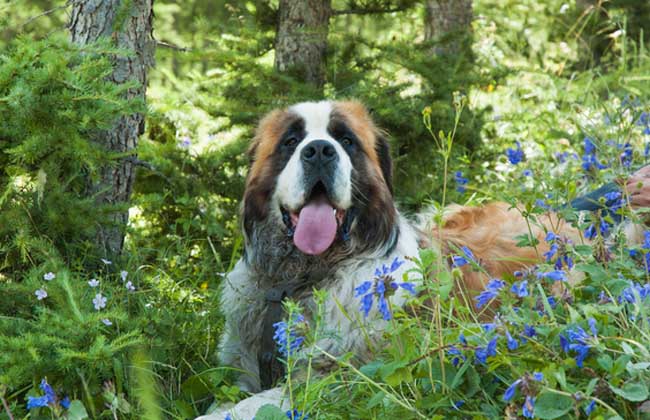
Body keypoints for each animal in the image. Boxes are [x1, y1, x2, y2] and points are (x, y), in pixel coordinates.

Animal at [197, 100, 636, 418]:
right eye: (291, 141)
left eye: (347, 141)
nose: (319, 150)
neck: (302, 277)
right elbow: (229, 398)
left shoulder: (343, 375)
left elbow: (245, 408)